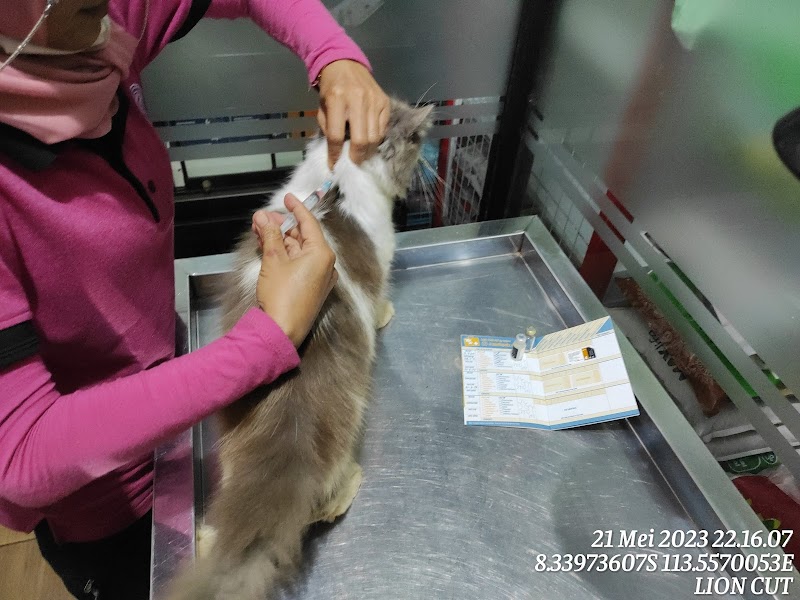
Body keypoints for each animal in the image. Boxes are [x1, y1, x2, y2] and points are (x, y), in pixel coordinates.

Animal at [166, 99, 434, 600]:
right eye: (416, 138)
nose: (427, 151)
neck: (339, 174)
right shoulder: (381, 260)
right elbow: (380, 295)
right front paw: (385, 313)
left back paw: (207, 540)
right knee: (320, 507)